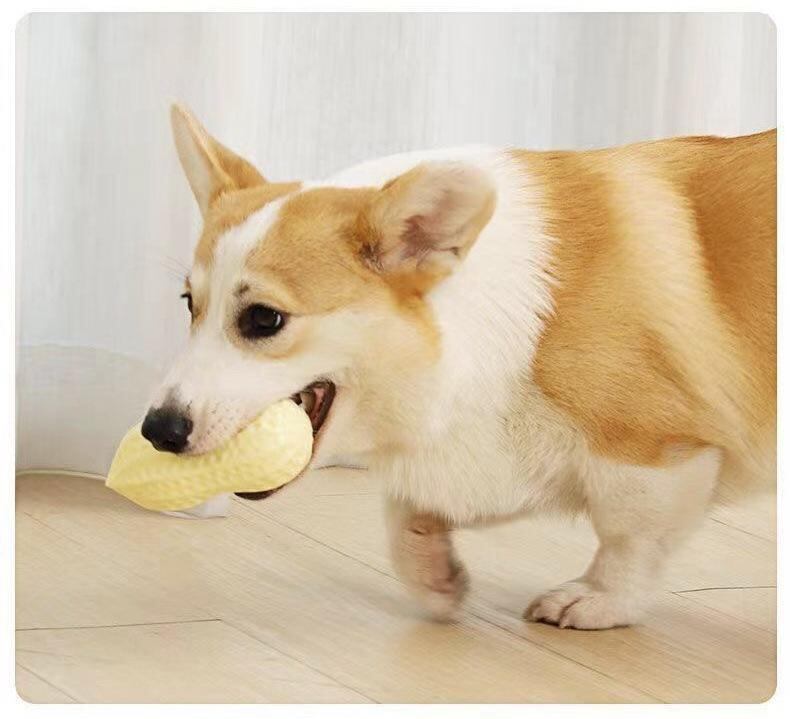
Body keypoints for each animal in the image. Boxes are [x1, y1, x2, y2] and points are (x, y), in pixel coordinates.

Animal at [143, 104, 776, 629]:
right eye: (189, 305)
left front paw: (598, 600)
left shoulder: (653, 451)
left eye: (263, 319)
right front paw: (433, 573)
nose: (157, 431)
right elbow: (407, 515)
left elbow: (630, 537)